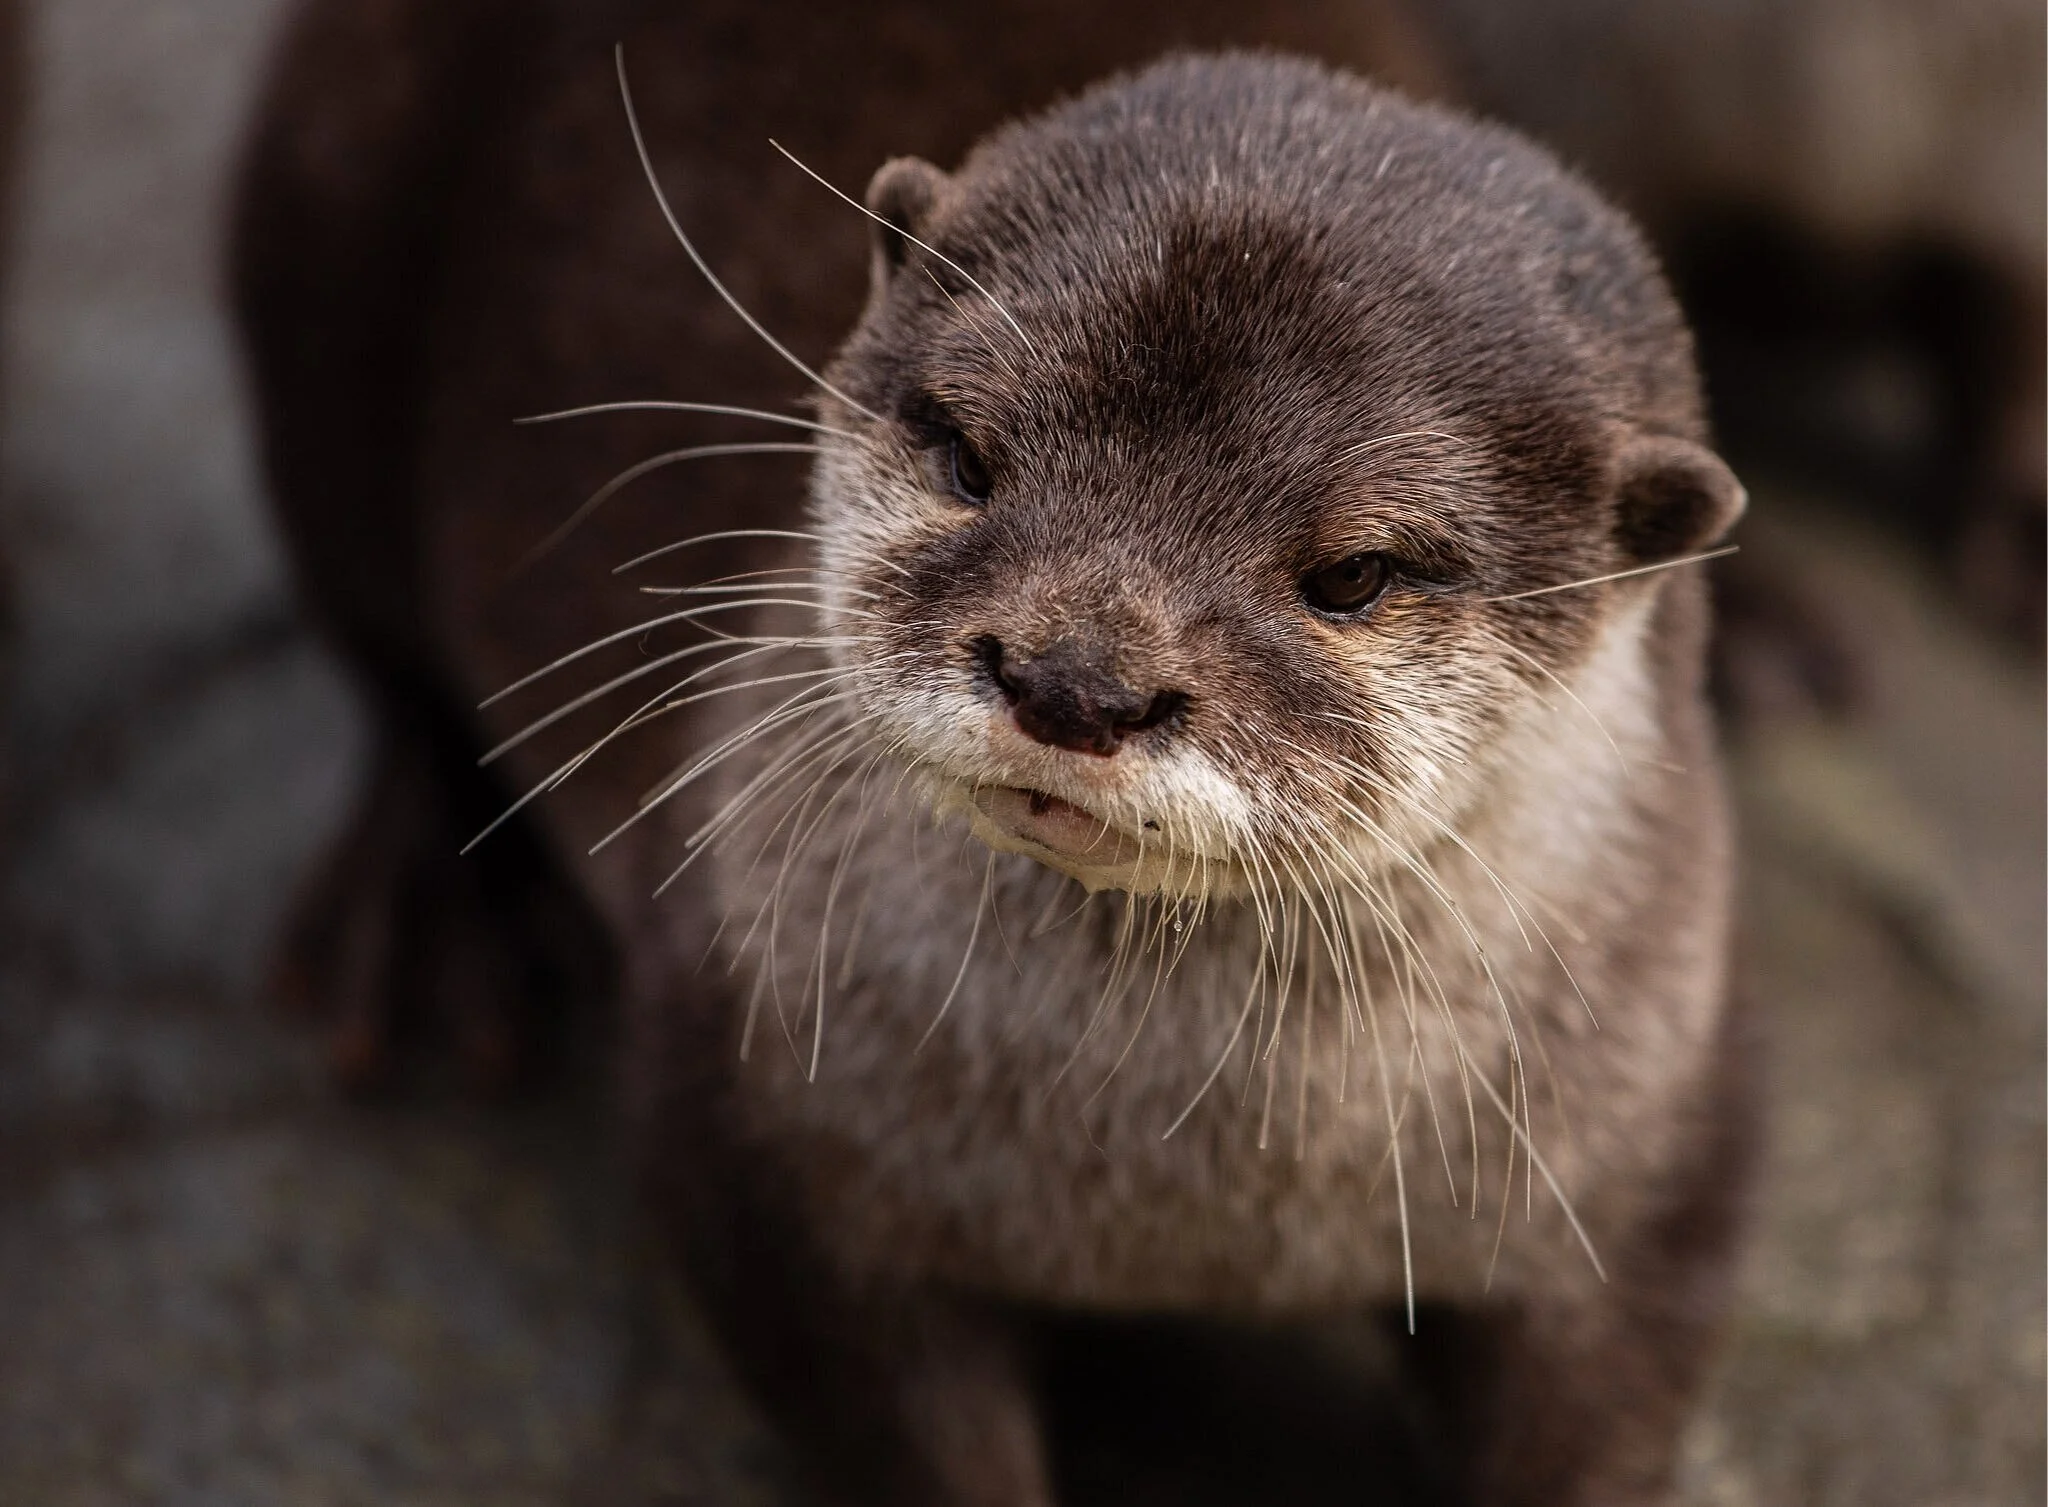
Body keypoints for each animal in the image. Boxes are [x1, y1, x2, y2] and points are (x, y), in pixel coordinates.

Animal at [235, 9, 1754, 1505]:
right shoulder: (749, 1107)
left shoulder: (1660, 1147)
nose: (1074, 679)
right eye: (970, 454)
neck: (1173, 1191)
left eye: (1353, 573)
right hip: (328, 212)